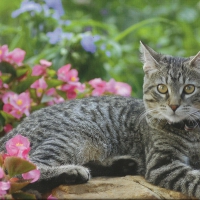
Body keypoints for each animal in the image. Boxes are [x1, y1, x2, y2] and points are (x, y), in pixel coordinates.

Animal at [0, 42, 200, 198]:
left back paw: (123, 165)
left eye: (189, 88)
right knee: (23, 172)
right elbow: (194, 179)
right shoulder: (161, 163)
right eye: (162, 88)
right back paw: (74, 171)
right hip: (72, 138)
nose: (174, 105)